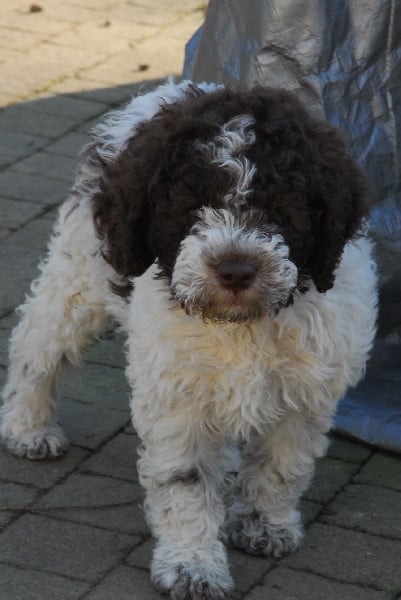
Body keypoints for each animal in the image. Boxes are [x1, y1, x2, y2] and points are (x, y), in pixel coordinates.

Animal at [0, 81, 376, 600]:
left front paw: (264, 524)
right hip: (80, 273)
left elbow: (282, 464)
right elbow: (186, 482)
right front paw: (192, 565)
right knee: (37, 343)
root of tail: (166, 92)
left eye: (280, 211)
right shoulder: (178, 395)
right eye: (193, 207)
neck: (242, 322)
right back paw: (28, 425)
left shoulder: (307, 390)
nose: (235, 270)